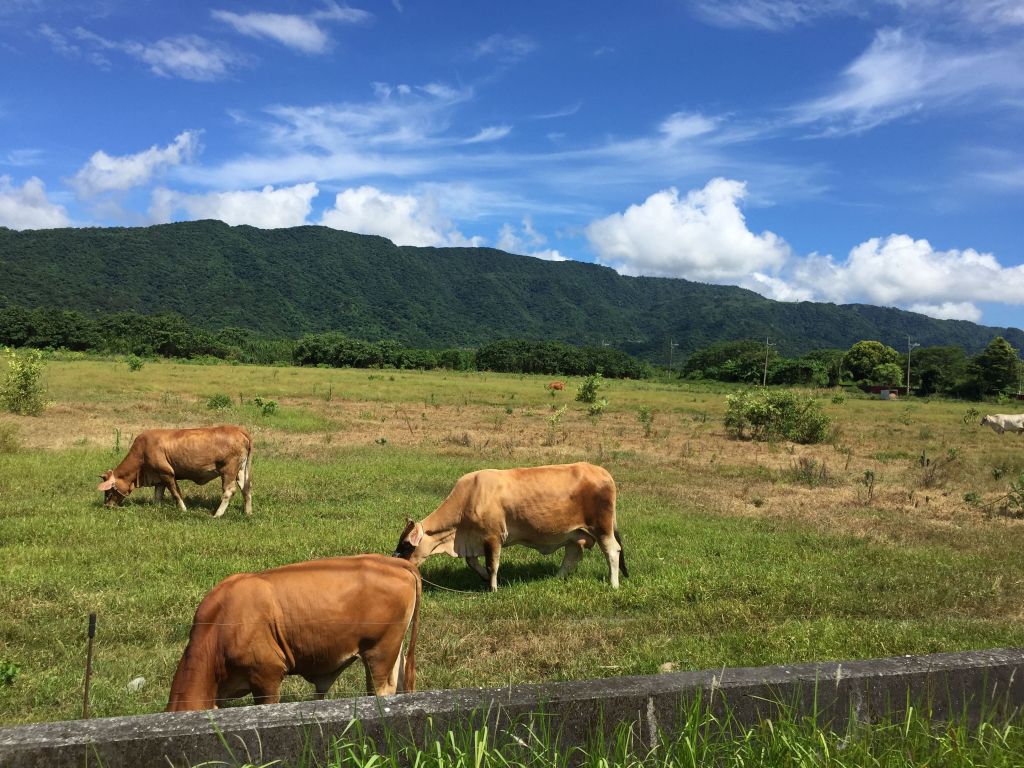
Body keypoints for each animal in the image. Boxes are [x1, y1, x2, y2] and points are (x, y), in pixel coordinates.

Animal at [96, 423, 252, 520]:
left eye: (109, 490)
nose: (107, 506)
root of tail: (238, 429)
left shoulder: (167, 473)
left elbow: (176, 493)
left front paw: (183, 509)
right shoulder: (158, 476)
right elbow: (158, 494)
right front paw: (156, 507)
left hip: (228, 470)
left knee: (229, 491)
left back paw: (217, 514)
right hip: (241, 470)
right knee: (246, 489)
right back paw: (248, 512)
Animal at [391, 460, 622, 593]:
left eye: (406, 545)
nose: (396, 563)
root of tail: (603, 472)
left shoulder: (493, 537)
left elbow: (492, 565)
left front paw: (493, 587)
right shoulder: (473, 538)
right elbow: (472, 562)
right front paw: (485, 578)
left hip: (602, 527)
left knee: (612, 551)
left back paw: (614, 583)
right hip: (574, 533)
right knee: (572, 555)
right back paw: (556, 577)